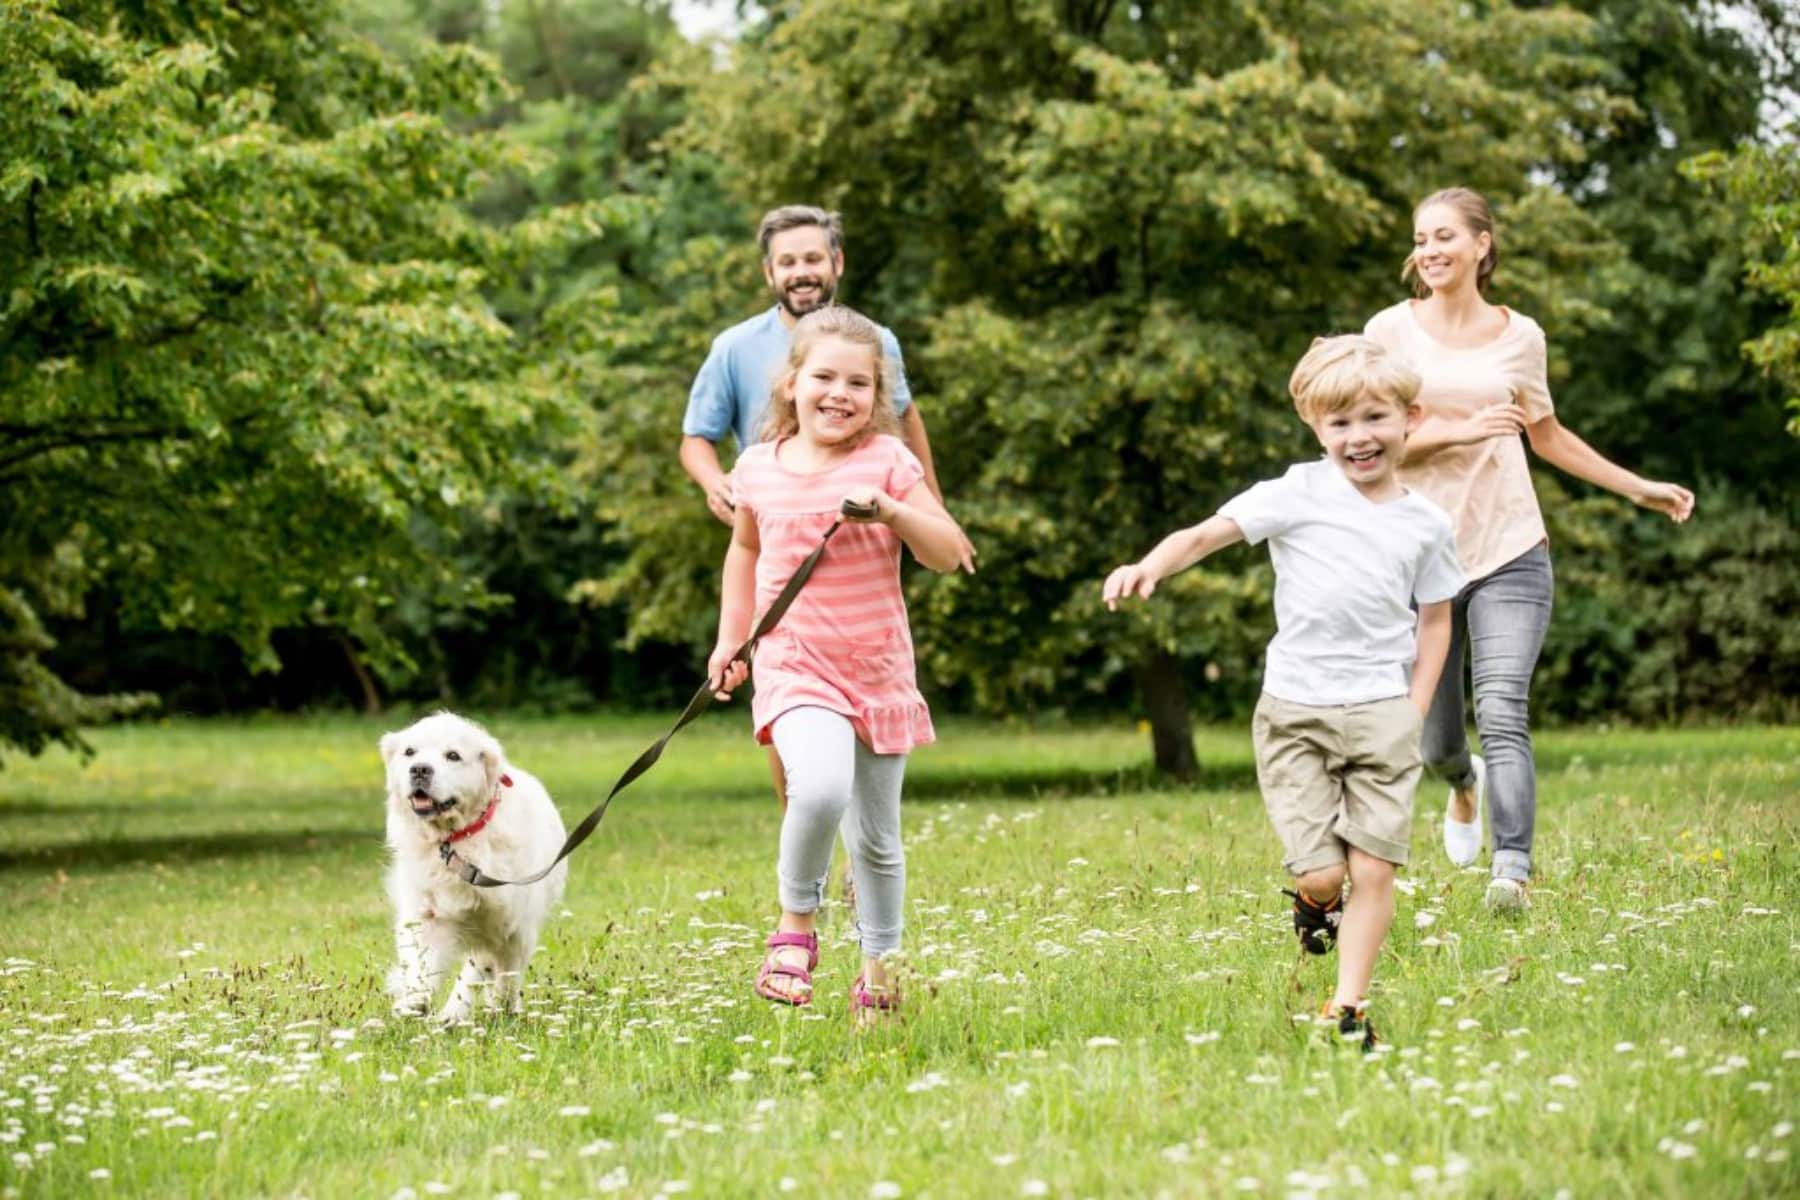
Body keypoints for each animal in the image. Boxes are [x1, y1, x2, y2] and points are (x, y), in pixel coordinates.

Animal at [381, 712, 568, 1021]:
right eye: (410, 752)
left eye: (453, 756)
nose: (419, 769)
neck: (455, 841)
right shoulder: (426, 915)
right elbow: (420, 965)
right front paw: (414, 1001)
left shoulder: (500, 927)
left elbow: (473, 975)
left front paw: (453, 1014)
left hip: (521, 933)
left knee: (507, 973)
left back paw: (505, 1006)